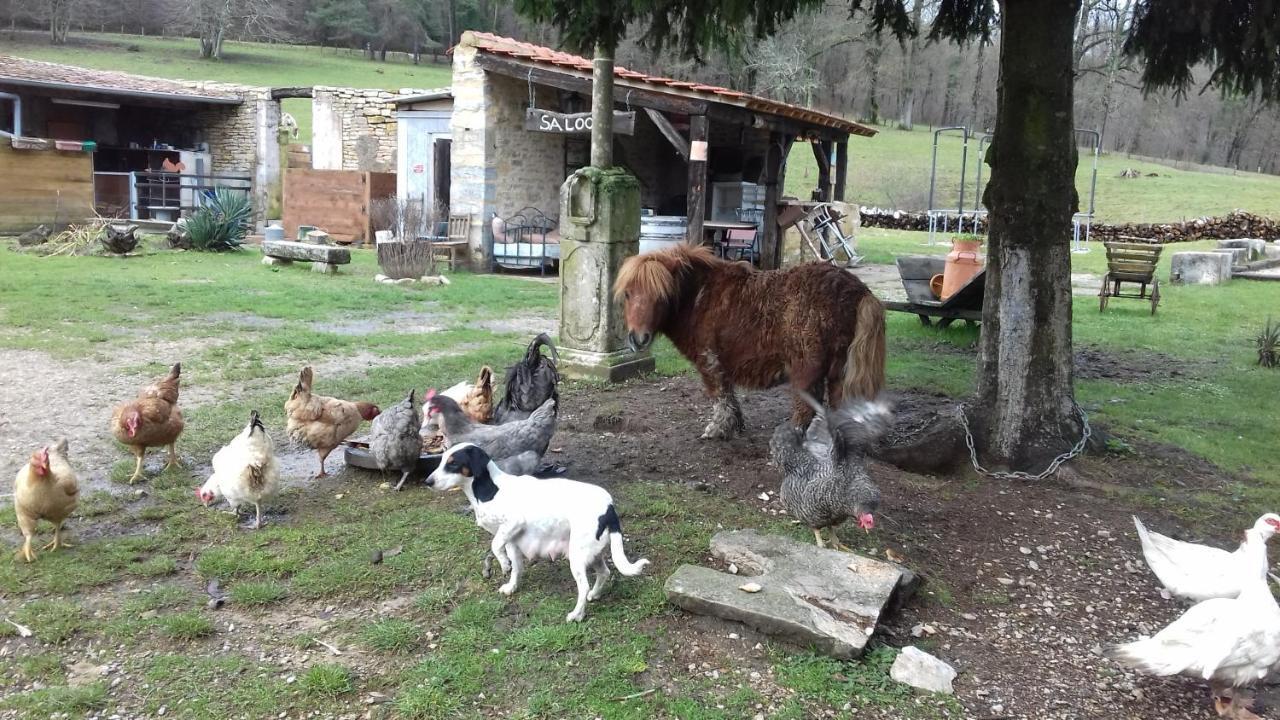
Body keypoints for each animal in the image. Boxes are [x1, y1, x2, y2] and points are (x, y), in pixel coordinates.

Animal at [427, 440, 650, 620]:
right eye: (441, 460)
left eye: (453, 463)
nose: (427, 482)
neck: (490, 489)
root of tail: (609, 508)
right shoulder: (512, 542)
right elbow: (516, 568)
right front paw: (511, 584)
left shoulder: (513, 524)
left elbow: (495, 545)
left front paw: (503, 564)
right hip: (591, 552)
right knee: (604, 573)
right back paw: (594, 595)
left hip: (577, 556)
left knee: (584, 585)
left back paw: (577, 615)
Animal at [616, 243, 880, 438]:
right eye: (628, 294)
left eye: (661, 297)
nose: (638, 339)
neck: (700, 296)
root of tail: (858, 289)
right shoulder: (720, 363)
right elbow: (729, 396)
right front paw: (735, 425)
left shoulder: (709, 362)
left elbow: (720, 396)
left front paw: (718, 429)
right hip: (838, 371)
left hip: (807, 370)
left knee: (805, 408)